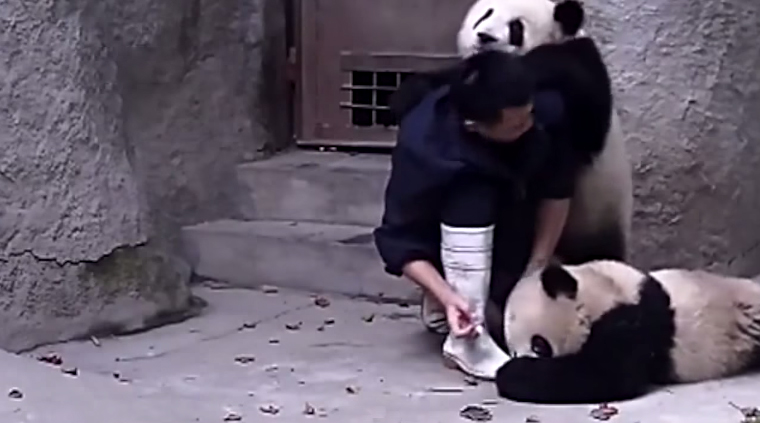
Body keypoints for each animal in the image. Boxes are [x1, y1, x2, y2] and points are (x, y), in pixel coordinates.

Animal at [391, 0, 633, 267]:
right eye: (487, 13)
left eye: (516, 27)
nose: (484, 36)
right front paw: (408, 95)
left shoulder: (583, 71)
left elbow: (586, 122)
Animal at [495, 259, 760, 404]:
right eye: (513, 351)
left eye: (539, 345)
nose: (520, 358)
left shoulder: (633, 321)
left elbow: (604, 375)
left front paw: (508, 374)